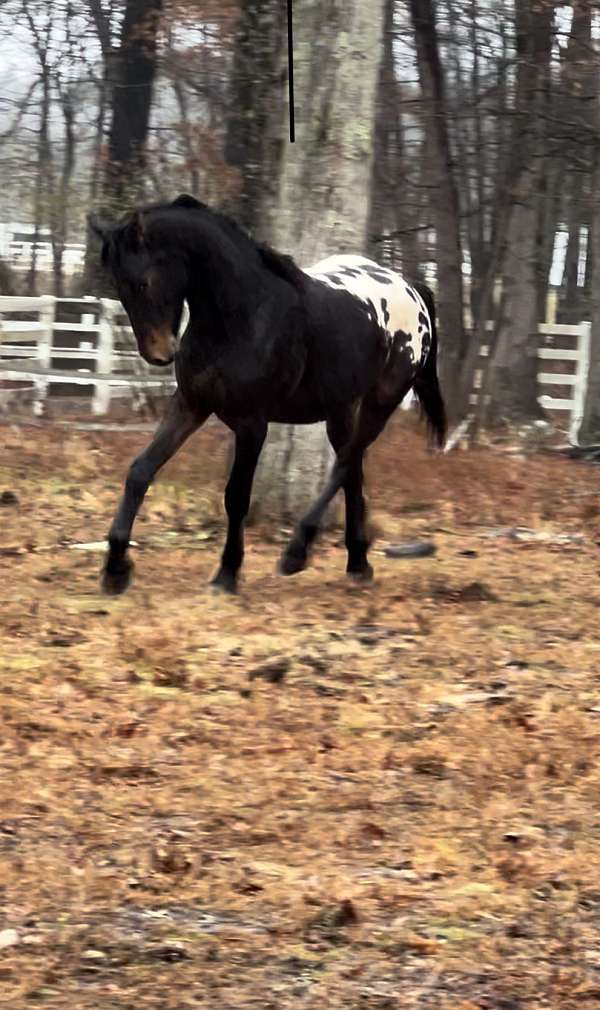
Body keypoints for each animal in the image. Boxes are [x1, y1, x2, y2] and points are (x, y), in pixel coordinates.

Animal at [89, 192, 444, 593]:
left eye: (144, 283)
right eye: (118, 287)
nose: (159, 353)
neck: (242, 316)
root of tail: (412, 289)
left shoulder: (252, 424)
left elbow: (236, 496)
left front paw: (227, 574)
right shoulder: (191, 405)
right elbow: (140, 471)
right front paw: (116, 569)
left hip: (381, 402)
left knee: (344, 465)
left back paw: (297, 553)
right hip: (340, 409)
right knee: (352, 469)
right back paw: (357, 563)